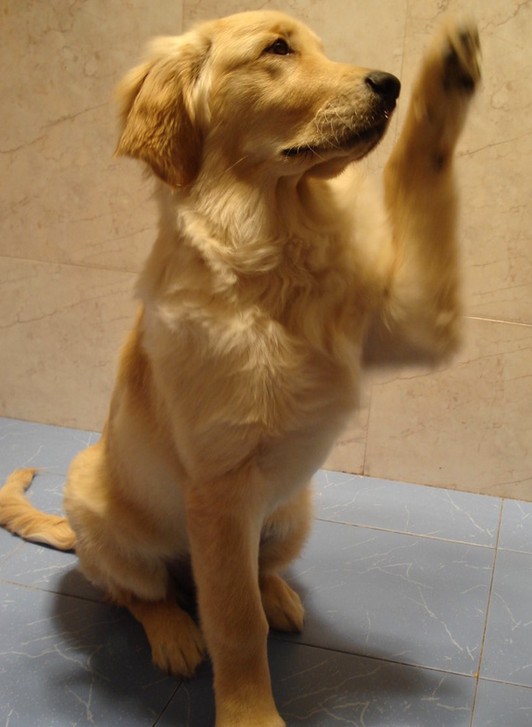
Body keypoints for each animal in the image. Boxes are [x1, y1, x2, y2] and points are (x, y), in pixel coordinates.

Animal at [0, 10, 480, 726]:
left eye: (320, 48)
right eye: (277, 49)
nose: (388, 83)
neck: (275, 254)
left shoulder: (421, 317)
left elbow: (422, 177)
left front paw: (445, 75)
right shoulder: (221, 491)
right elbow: (232, 622)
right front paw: (250, 711)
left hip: (292, 512)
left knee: (254, 571)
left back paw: (277, 594)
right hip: (103, 512)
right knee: (138, 593)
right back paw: (173, 633)